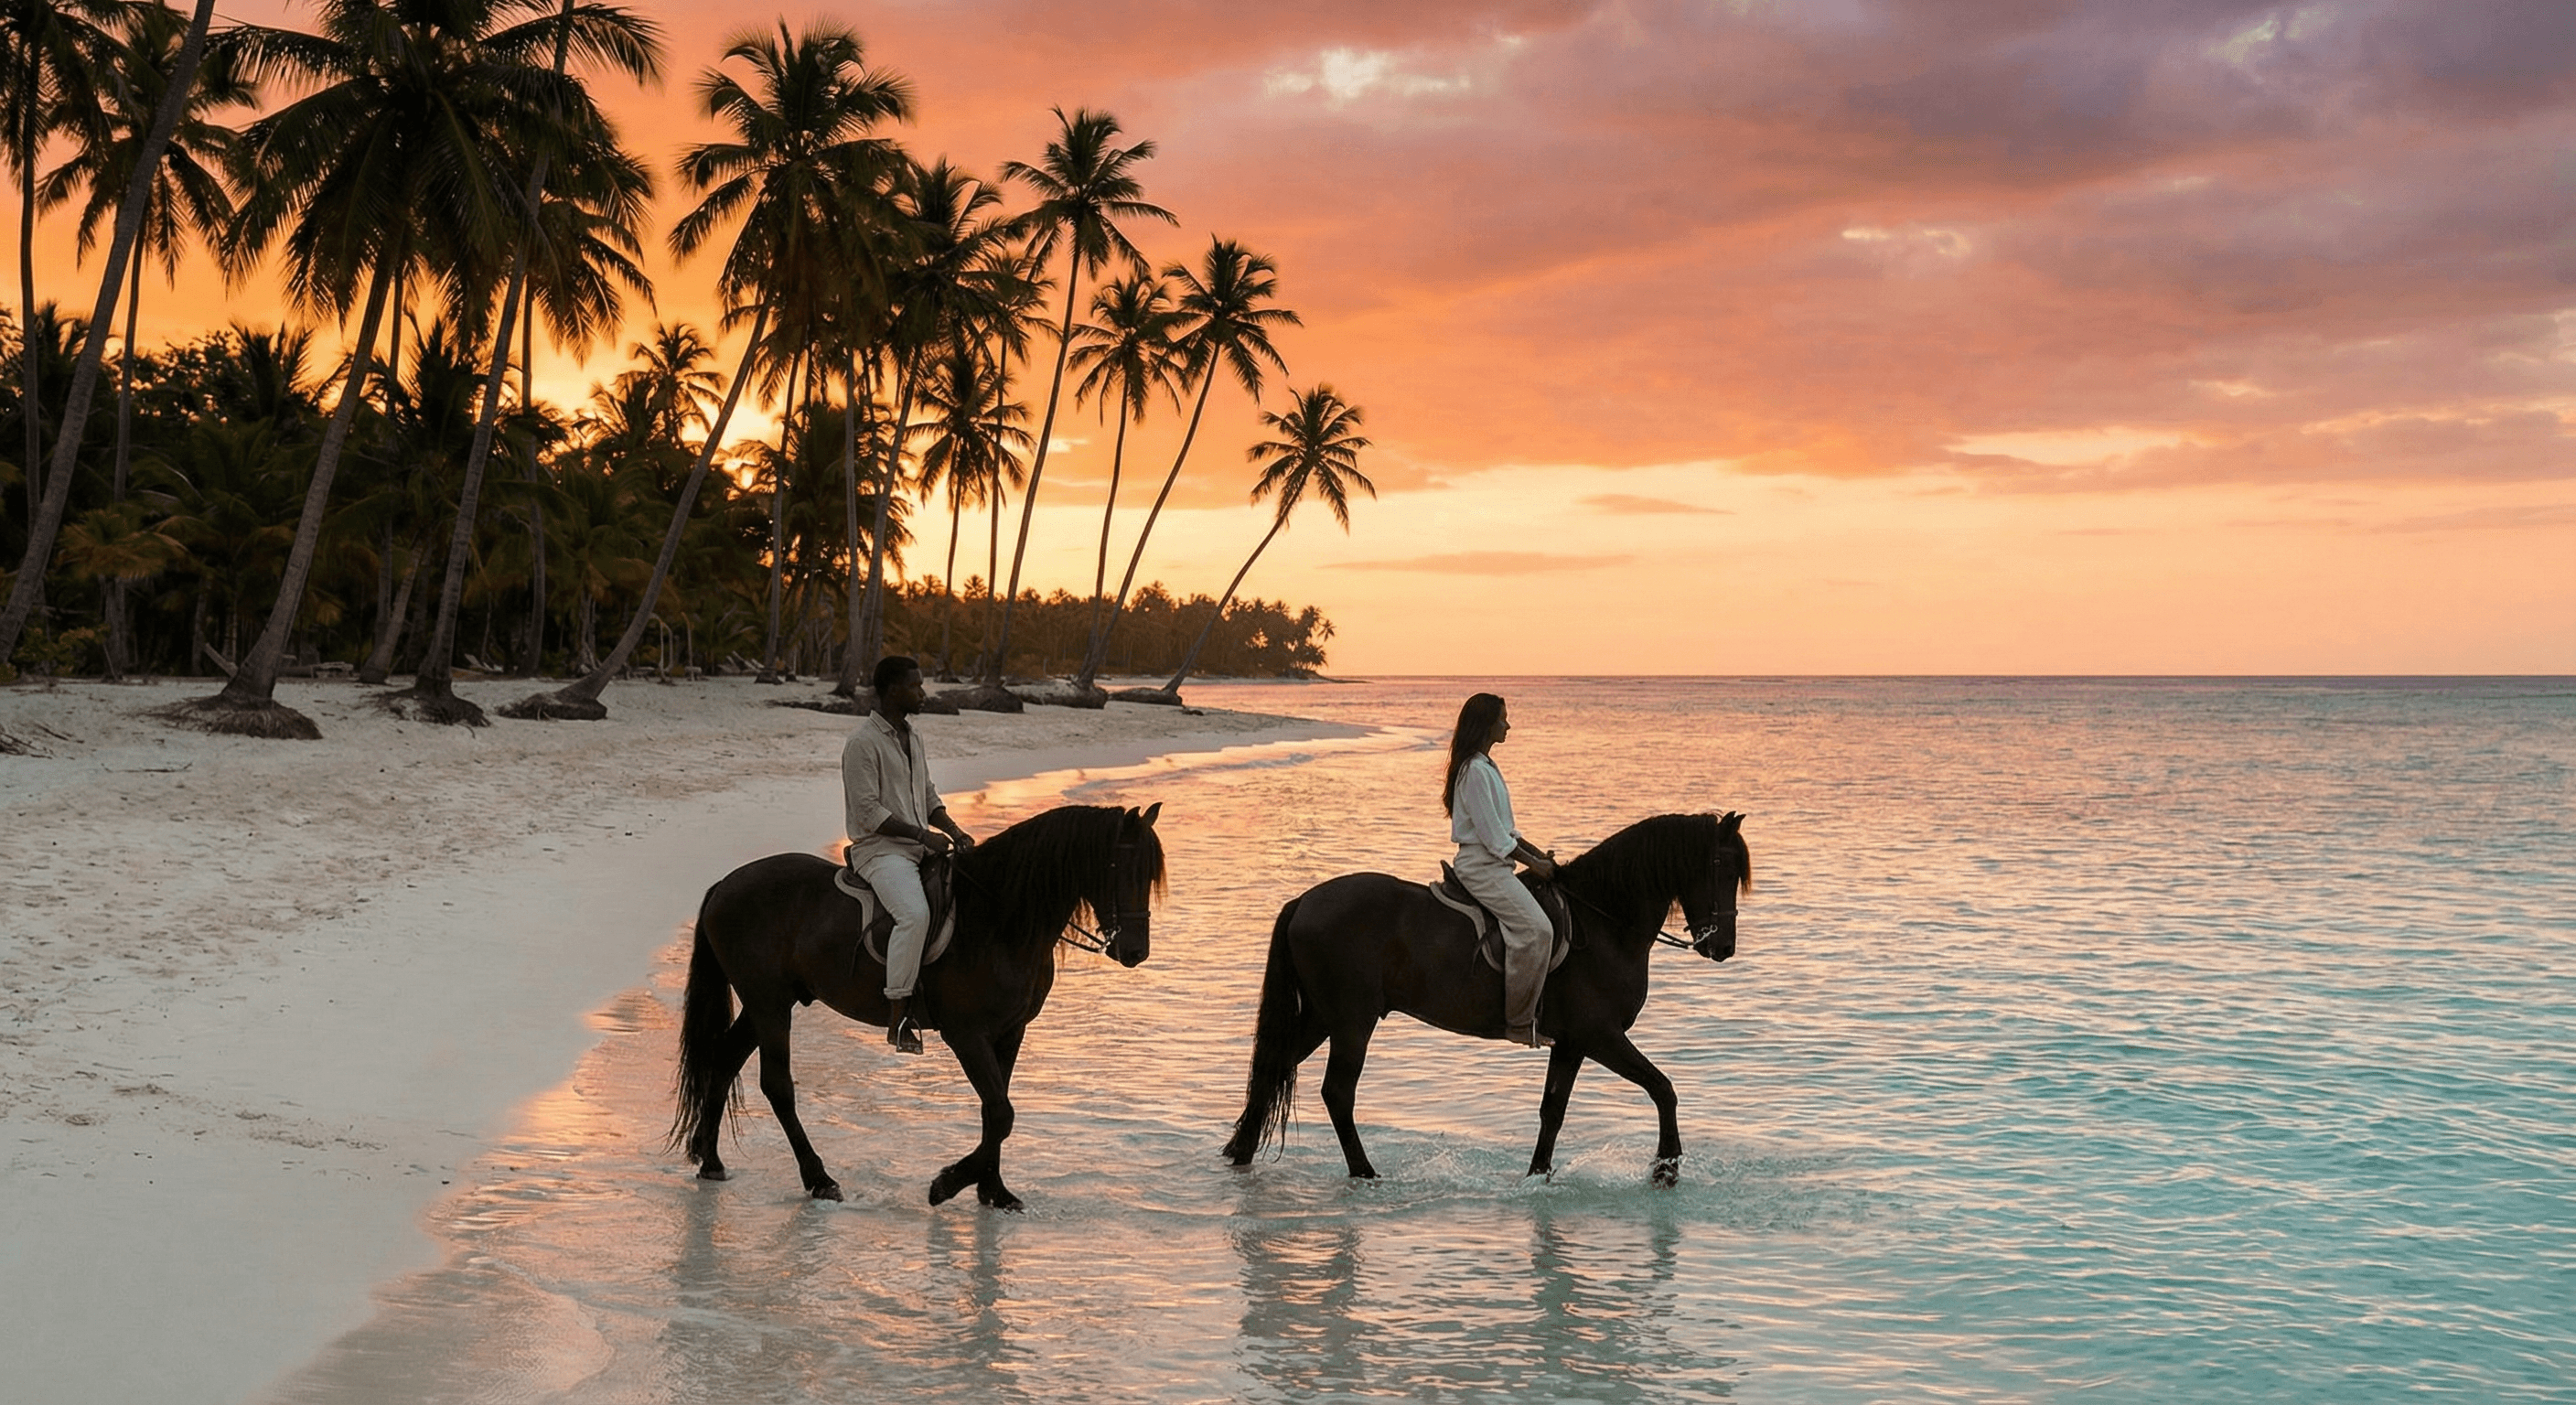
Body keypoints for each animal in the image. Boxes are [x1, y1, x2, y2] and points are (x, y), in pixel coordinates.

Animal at [670, 802, 1165, 1209]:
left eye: (1149, 875)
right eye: (1118, 866)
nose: (1136, 951)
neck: (997, 919)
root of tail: (726, 883)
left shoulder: (1010, 1031)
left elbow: (995, 1111)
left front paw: (993, 1191)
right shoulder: (967, 1035)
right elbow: (1001, 1112)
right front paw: (947, 1184)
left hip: (765, 1004)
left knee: (722, 1062)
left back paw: (712, 1161)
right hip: (770, 1005)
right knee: (776, 1085)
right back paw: (819, 1179)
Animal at [1222, 811, 1750, 1187]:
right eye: (1721, 867)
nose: (1723, 947)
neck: (1603, 924)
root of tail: (1304, 902)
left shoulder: (1572, 1043)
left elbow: (1553, 1111)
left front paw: (1537, 1176)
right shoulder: (1600, 1035)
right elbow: (1663, 1088)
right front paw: (1666, 1168)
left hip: (1322, 1017)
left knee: (1274, 1069)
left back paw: (1242, 1153)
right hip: (1352, 1021)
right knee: (1337, 1091)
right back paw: (1363, 1172)